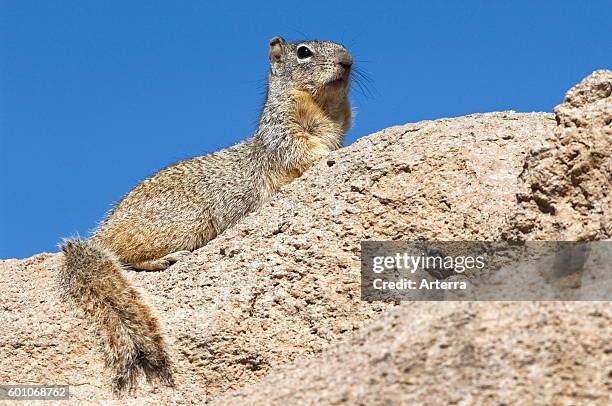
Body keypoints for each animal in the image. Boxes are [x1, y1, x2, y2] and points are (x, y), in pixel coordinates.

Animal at [59, 37, 354, 394]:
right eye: (304, 52)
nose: (348, 61)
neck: (324, 107)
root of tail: (99, 235)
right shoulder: (283, 134)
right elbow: (304, 151)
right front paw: (328, 155)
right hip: (184, 223)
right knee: (126, 257)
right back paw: (165, 259)